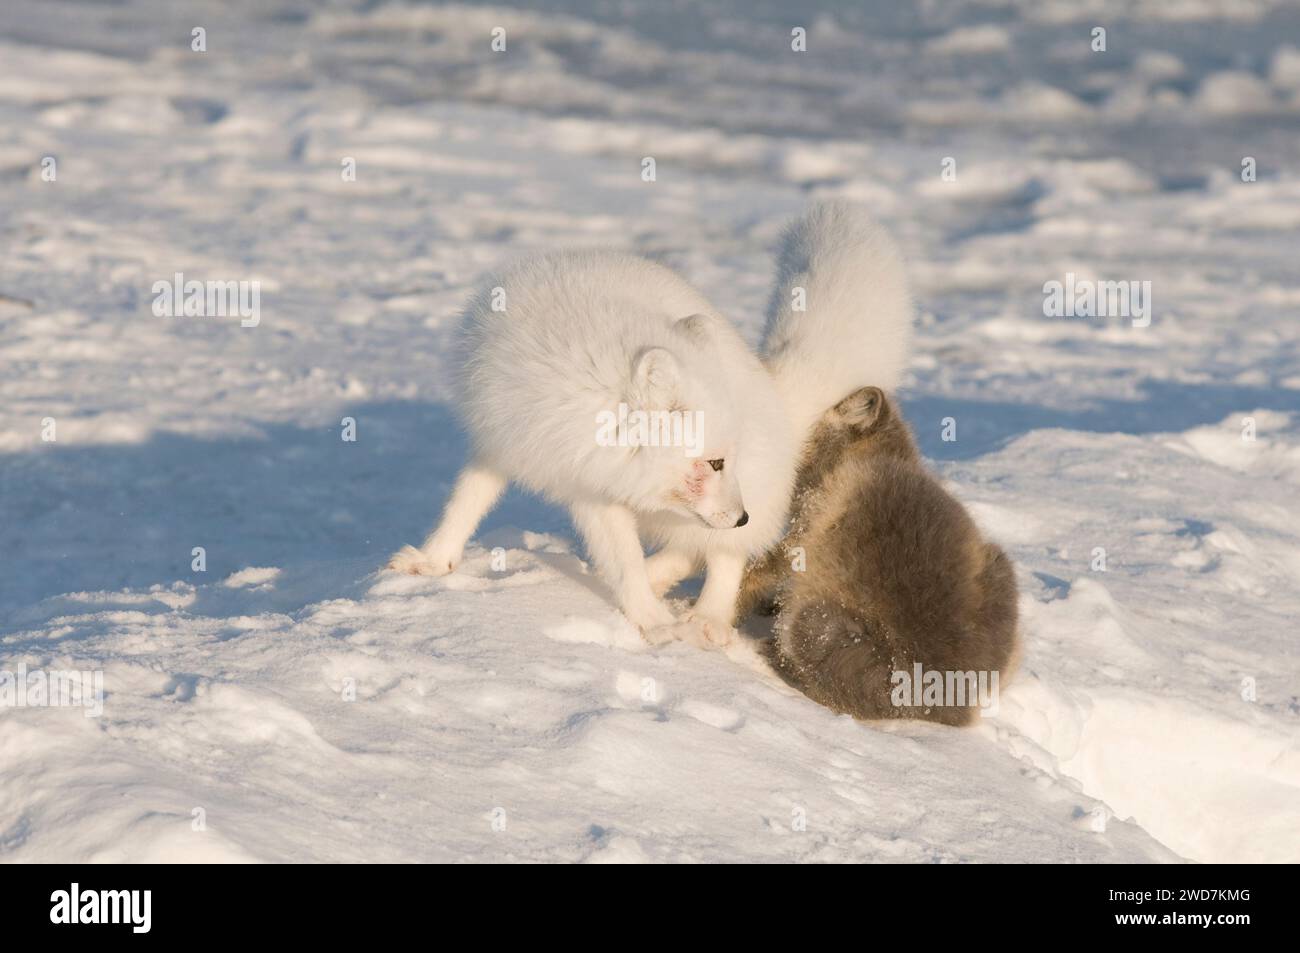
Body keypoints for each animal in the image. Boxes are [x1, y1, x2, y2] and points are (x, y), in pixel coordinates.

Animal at [390, 204, 909, 642]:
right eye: (714, 462)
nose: (742, 515)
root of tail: (774, 389)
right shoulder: (510, 442)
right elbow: (464, 504)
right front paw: (433, 562)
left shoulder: (597, 484)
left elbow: (629, 562)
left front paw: (653, 624)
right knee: (689, 548)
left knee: (723, 553)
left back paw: (708, 618)